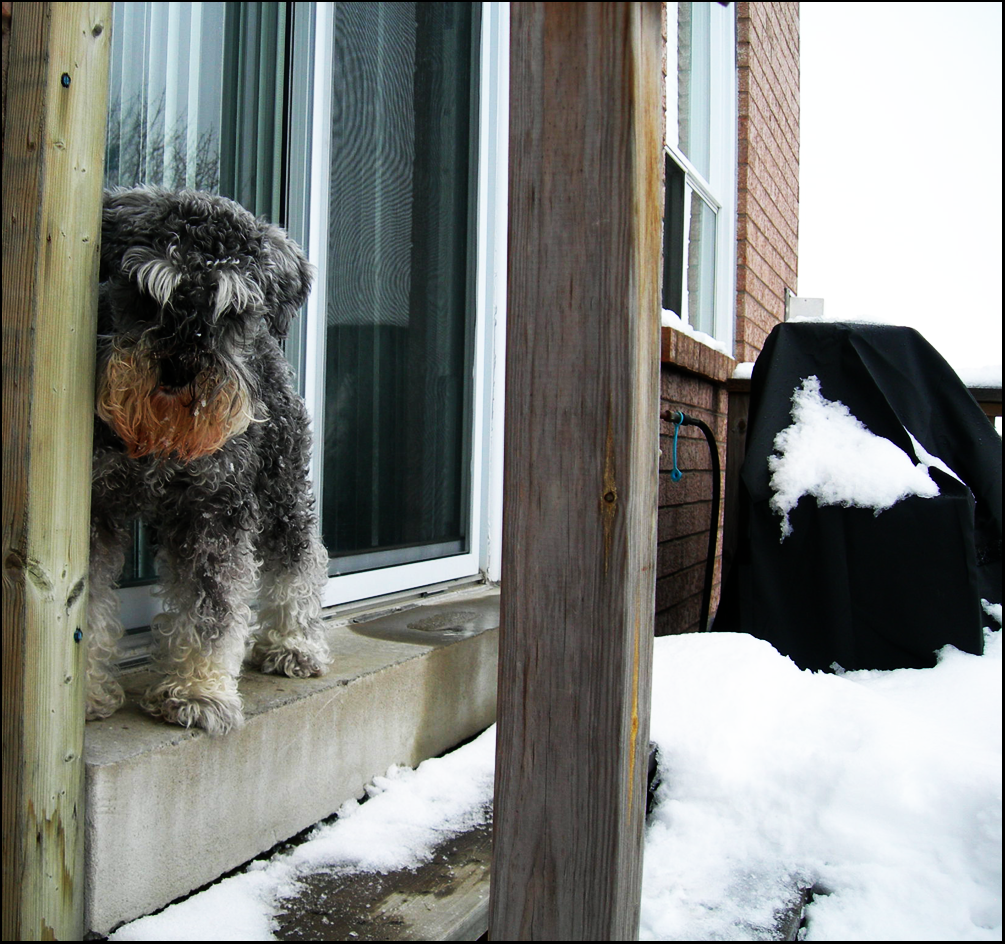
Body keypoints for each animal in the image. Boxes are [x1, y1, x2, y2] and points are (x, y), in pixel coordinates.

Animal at [86, 185, 329, 739]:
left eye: (232, 311)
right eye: (147, 294)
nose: (178, 371)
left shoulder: (213, 510)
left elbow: (210, 609)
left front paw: (198, 693)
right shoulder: (95, 507)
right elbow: (85, 604)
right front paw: (84, 693)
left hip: (284, 488)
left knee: (299, 559)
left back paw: (294, 644)